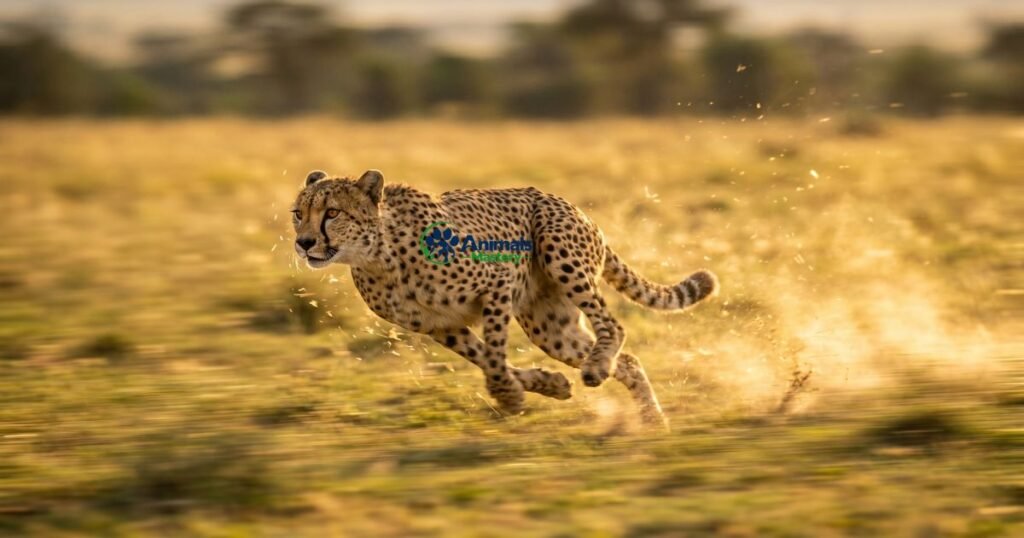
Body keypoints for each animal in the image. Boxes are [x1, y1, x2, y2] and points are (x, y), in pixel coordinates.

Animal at [291, 169, 718, 427]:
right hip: (550, 327)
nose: (304, 242)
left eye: (332, 213)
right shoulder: (439, 327)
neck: (380, 255)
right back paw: (651, 419)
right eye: (298, 213)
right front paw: (547, 385)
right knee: (625, 358)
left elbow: (495, 355)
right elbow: (484, 357)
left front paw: (510, 396)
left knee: (613, 325)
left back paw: (600, 368)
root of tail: (573, 207)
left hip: (560, 253)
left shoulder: (499, 282)